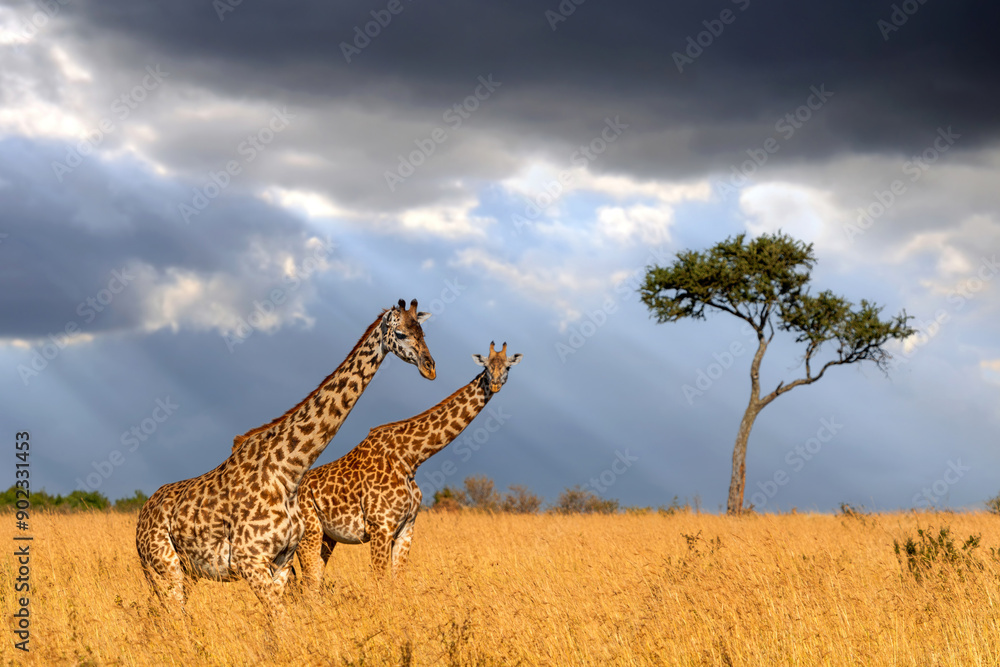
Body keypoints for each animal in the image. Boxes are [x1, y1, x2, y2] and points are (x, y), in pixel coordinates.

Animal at [135, 299, 436, 615]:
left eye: (423, 332)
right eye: (400, 333)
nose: (430, 367)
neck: (288, 471)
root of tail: (140, 518)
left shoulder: (282, 561)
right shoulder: (249, 561)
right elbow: (282, 618)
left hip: (186, 571)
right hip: (164, 569)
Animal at [293, 341, 522, 592]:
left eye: (508, 367)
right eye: (487, 367)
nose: (496, 383)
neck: (411, 458)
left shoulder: (406, 529)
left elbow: (399, 580)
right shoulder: (381, 527)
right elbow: (380, 580)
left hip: (327, 536)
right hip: (309, 532)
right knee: (308, 581)